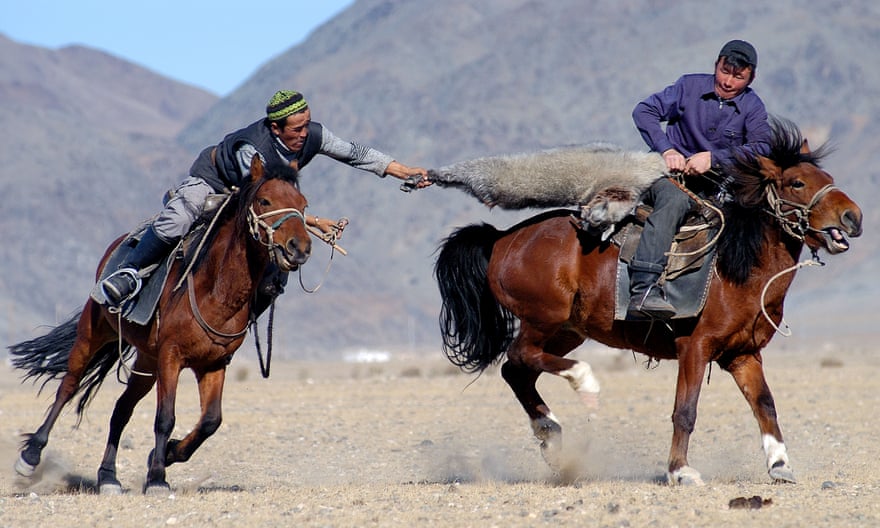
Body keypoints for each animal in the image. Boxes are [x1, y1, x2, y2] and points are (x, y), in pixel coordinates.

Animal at [10, 157, 312, 496]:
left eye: (303, 204)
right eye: (265, 201)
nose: (299, 248)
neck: (215, 289)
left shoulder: (213, 364)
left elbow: (211, 420)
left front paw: (167, 453)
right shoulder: (172, 356)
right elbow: (165, 418)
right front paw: (156, 477)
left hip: (147, 361)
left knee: (121, 409)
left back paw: (108, 477)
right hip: (95, 332)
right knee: (68, 386)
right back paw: (30, 456)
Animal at [436, 117, 864, 484]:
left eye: (827, 178)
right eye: (796, 183)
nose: (853, 217)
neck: (733, 266)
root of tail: (501, 238)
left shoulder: (742, 354)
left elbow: (765, 405)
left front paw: (780, 464)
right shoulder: (695, 347)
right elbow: (685, 411)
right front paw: (680, 471)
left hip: (569, 329)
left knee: (517, 369)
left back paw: (552, 437)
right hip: (543, 318)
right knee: (522, 356)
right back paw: (583, 382)